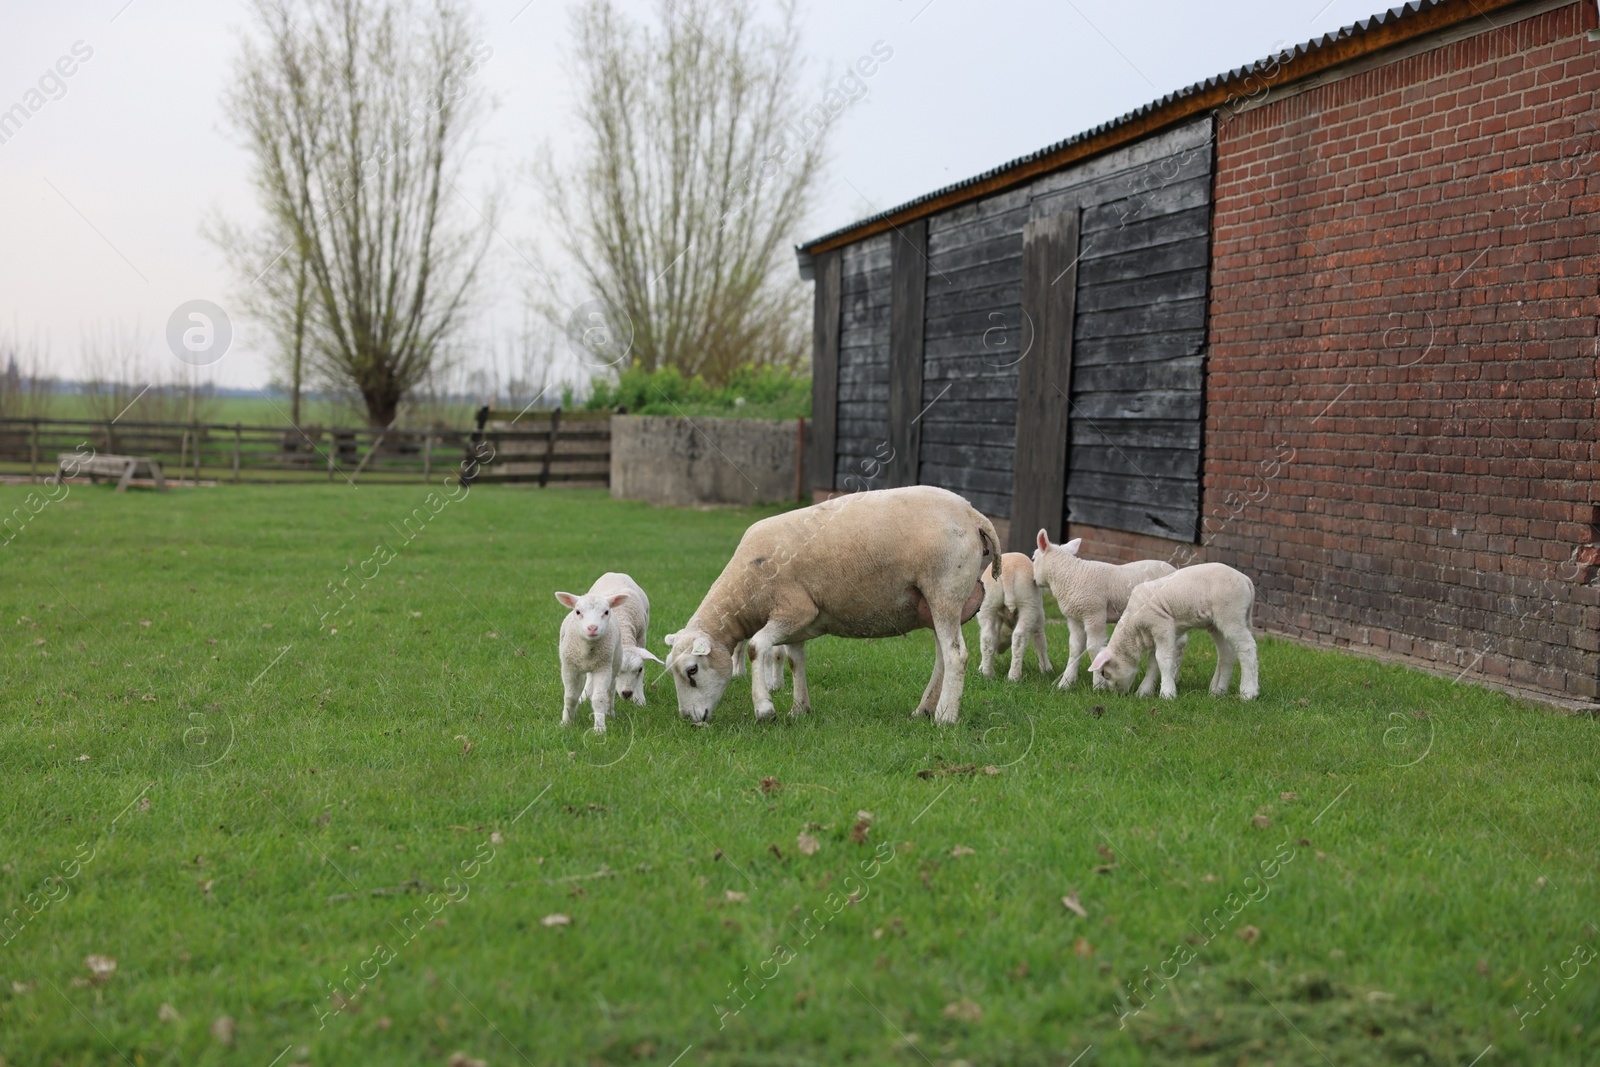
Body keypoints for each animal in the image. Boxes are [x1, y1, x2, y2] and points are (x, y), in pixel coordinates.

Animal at [662, 486, 998, 726]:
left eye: (692, 670)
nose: (690, 719)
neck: (745, 587)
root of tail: (974, 515)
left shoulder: (794, 610)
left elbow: (756, 647)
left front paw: (764, 708)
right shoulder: (796, 625)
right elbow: (795, 661)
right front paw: (799, 709)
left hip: (944, 590)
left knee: (956, 655)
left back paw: (945, 717)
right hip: (931, 604)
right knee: (942, 656)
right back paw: (924, 709)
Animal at [972, 550, 1049, 684]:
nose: (999, 650)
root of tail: (1008, 569)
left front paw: (981, 667)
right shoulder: (1038, 619)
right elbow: (1040, 642)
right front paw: (1046, 669)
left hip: (988, 604)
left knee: (987, 638)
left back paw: (987, 674)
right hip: (1028, 604)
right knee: (1019, 637)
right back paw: (1014, 676)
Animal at [1036, 531, 1177, 694]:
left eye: (1033, 558)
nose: (1034, 580)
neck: (1070, 576)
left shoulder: (1094, 613)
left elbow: (1094, 648)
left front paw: (1098, 685)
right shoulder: (1075, 619)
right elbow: (1074, 649)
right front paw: (1066, 682)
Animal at [1088, 563, 1260, 703]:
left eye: (1104, 673)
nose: (1116, 695)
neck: (1134, 629)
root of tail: (1245, 579)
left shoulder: (1162, 626)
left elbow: (1163, 659)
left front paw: (1167, 694)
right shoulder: (1155, 635)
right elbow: (1153, 662)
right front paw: (1144, 692)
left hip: (1231, 614)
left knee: (1247, 648)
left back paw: (1248, 692)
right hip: (1217, 624)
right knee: (1227, 654)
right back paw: (1218, 691)